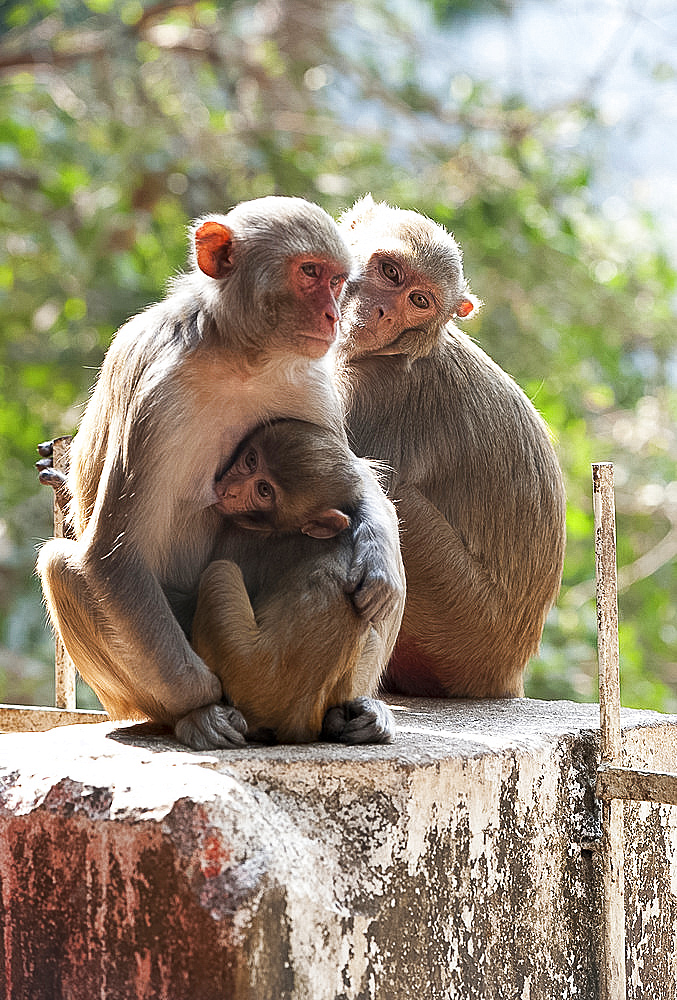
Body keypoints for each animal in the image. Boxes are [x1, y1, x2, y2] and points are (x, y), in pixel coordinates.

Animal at [190, 418, 404, 748]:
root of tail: (299, 720)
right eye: (251, 460)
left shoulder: (244, 536)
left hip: (243, 667)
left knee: (219, 573)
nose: (231, 491)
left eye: (264, 490)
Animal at [338, 193, 564, 696]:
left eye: (418, 302)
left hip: (464, 622)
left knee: (390, 493)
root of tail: (507, 672)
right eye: (391, 272)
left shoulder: (370, 396)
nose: (381, 313)